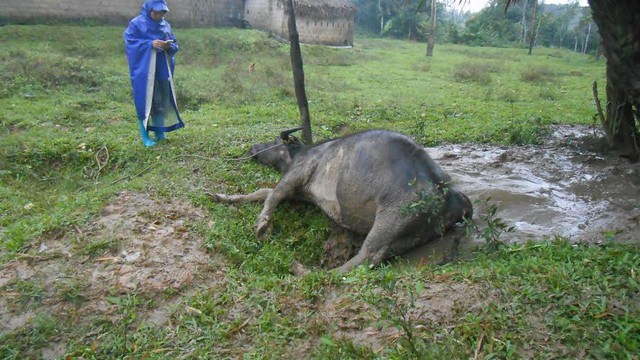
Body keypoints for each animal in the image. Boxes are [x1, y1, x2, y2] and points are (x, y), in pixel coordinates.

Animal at [212, 128, 472, 272]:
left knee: (367, 257)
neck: (300, 154)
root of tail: (450, 196)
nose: (252, 148)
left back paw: (305, 271)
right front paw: (223, 197)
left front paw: (262, 225)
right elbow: (262, 192)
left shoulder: (298, 173)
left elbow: (273, 194)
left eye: (274, 142)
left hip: (392, 217)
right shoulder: (301, 194)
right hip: (410, 236)